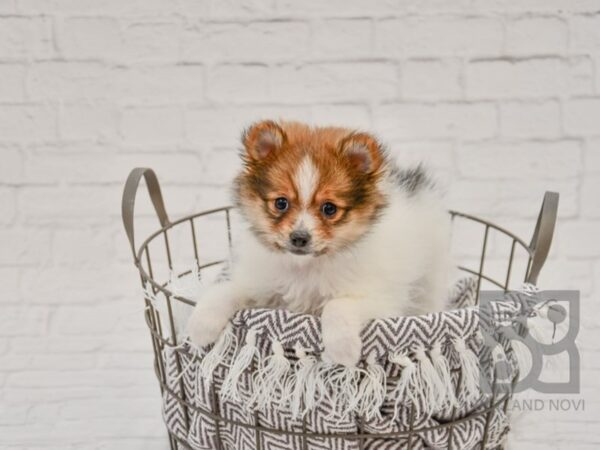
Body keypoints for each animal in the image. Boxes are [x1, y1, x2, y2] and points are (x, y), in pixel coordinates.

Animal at [188, 121, 450, 368]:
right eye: (281, 203)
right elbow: (226, 290)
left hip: (431, 277)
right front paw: (201, 325)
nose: (299, 237)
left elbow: (336, 305)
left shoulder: (381, 299)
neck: (305, 268)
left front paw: (343, 348)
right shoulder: (262, 287)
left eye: (329, 209)